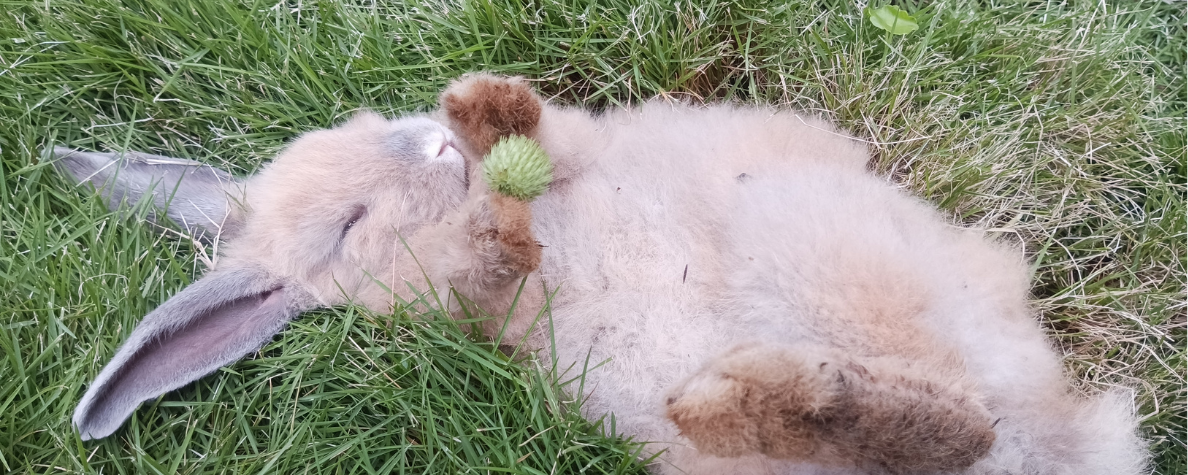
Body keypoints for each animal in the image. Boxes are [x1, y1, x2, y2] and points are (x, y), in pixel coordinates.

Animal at [54, 74, 1148, 475]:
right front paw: (493, 187)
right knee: (949, 432)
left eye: (362, 128)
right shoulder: (476, 308)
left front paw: (482, 104)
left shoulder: (581, 151)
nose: (433, 145)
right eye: (345, 228)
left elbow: (543, 138)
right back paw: (767, 395)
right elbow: (497, 255)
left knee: (961, 423)